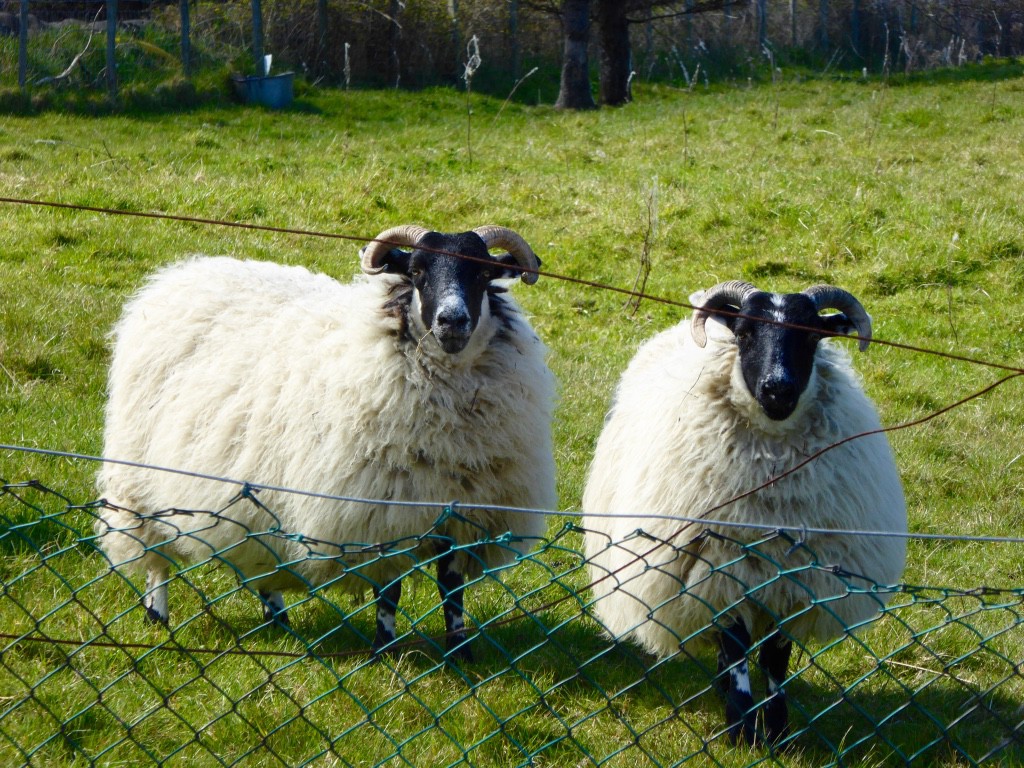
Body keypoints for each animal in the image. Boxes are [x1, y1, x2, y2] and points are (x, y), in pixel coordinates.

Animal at [96, 224, 557, 663]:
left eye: (482, 273)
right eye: (416, 272)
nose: (452, 322)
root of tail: (183, 272)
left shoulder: (460, 518)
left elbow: (452, 589)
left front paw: (459, 653)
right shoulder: (380, 514)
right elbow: (389, 591)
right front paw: (383, 651)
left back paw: (276, 616)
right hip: (138, 472)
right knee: (154, 547)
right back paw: (157, 612)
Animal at [581, 280, 909, 745]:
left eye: (812, 334)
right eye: (745, 332)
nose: (778, 389)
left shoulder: (792, 582)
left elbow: (774, 659)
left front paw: (777, 730)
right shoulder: (720, 572)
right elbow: (736, 652)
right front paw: (740, 729)